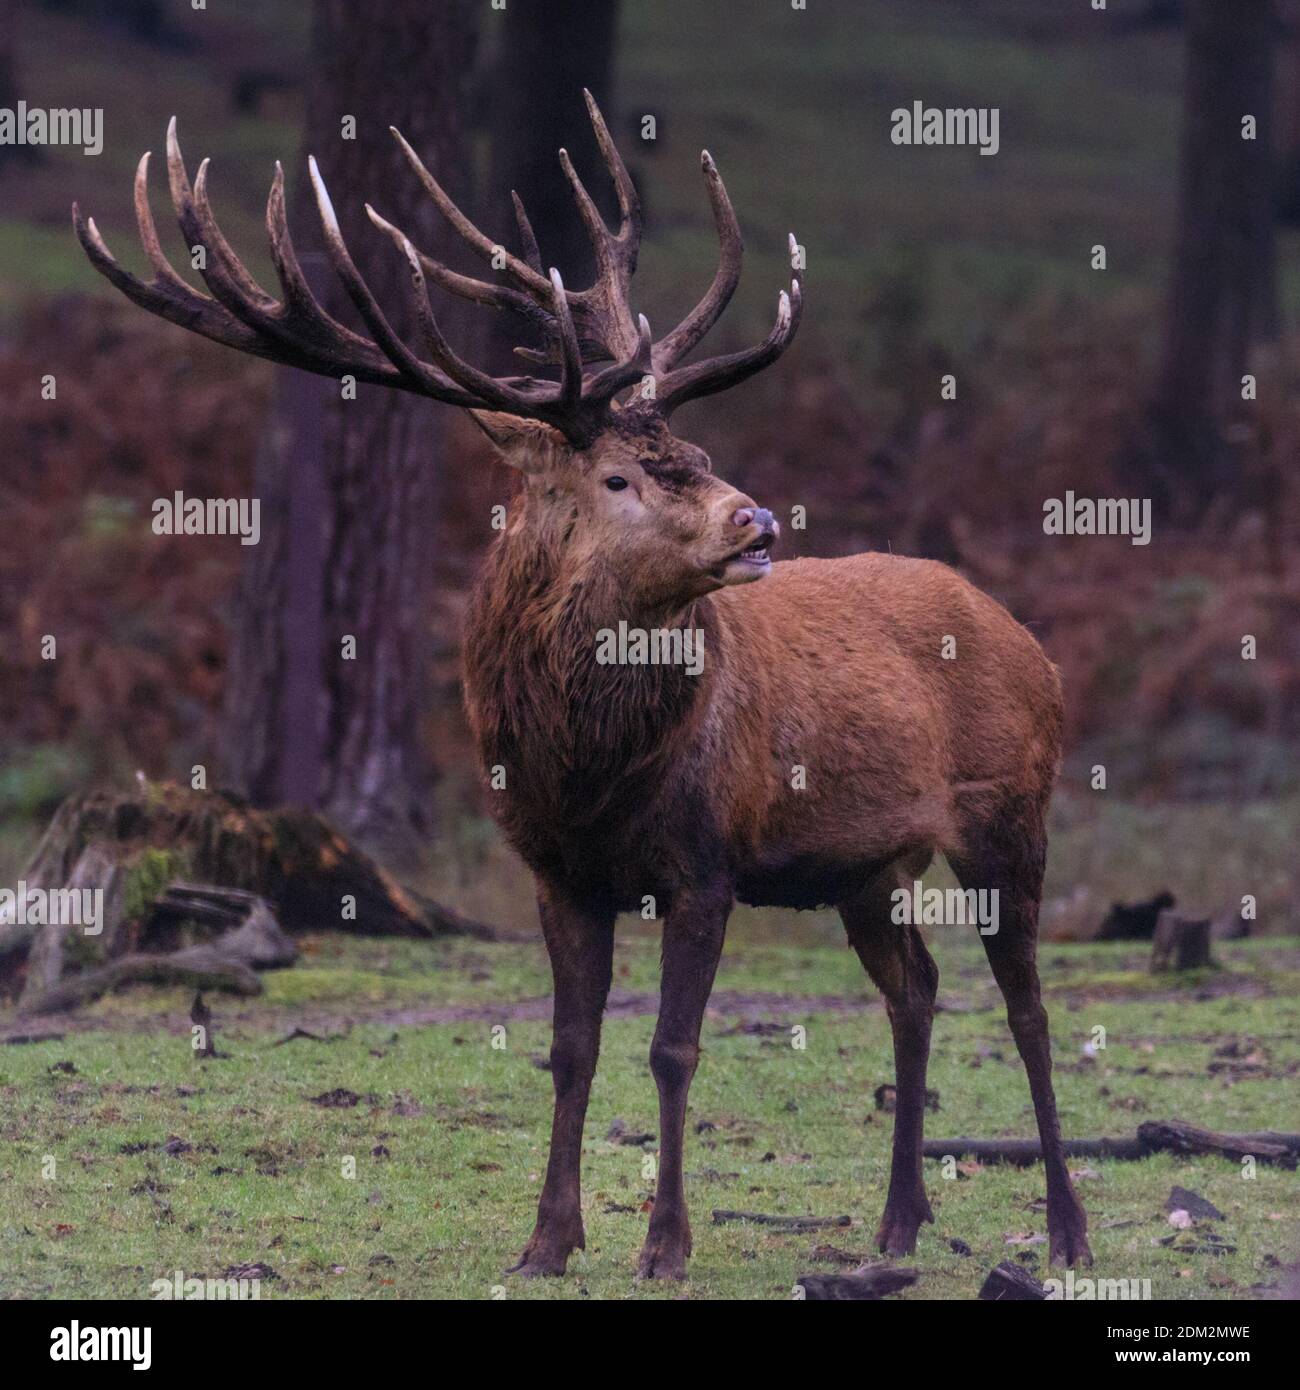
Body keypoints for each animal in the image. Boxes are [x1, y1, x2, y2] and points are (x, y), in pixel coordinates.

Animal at [74, 91, 1091, 1280]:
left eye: (695, 450)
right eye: (618, 475)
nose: (758, 521)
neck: (591, 774)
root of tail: (1037, 646)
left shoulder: (707, 859)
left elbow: (672, 1046)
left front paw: (665, 1245)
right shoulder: (557, 870)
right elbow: (569, 1047)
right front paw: (547, 1241)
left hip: (1009, 814)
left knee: (1027, 1007)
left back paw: (1065, 1228)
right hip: (866, 864)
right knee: (918, 988)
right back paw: (895, 1224)